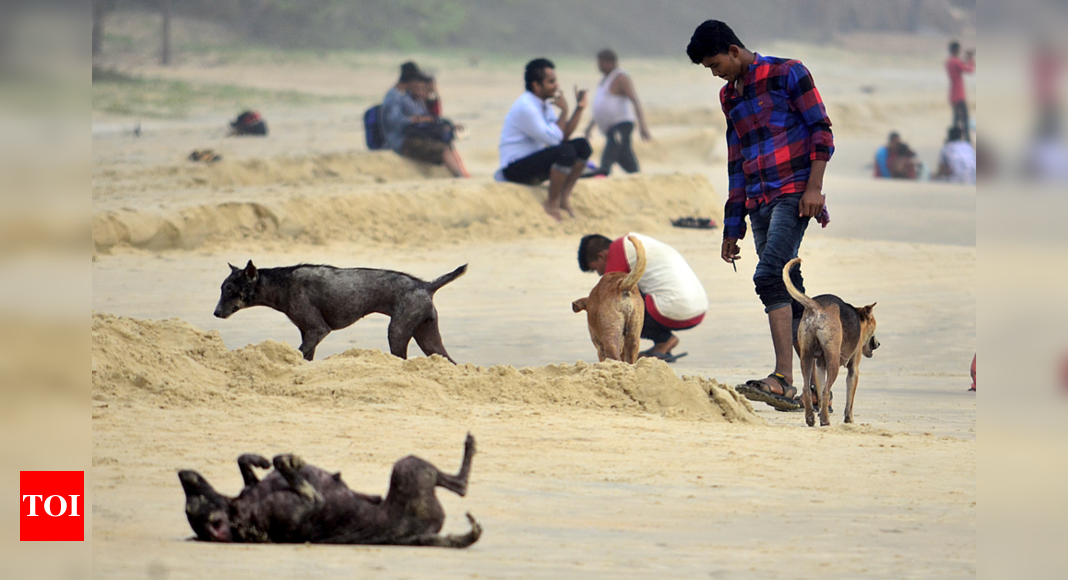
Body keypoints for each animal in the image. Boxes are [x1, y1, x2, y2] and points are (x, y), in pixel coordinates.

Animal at [177, 435, 478, 551]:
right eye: (192, 506)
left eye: (192, 496)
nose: (181, 473)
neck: (239, 514)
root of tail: (408, 538)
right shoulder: (312, 500)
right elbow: (281, 461)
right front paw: (288, 461)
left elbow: (247, 463)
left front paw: (256, 459)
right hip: (408, 468)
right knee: (461, 485)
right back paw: (470, 446)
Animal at [213, 260, 467, 361]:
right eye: (222, 288)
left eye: (230, 289)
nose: (215, 313)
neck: (281, 284)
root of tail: (426, 285)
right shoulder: (308, 334)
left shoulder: (317, 330)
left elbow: (300, 352)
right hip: (427, 338)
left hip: (397, 332)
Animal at [786, 258, 875, 427]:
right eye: (874, 328)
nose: (877, 344)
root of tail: (817, 307)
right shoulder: (854, 370)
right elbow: (849, 401)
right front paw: (849, 419)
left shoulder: (820, 366)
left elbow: (820, 395)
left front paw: (821, 412)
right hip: (833, 363)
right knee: (826, 390)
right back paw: (825, 421)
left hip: (806, 358)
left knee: (808, 389)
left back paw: (811, 418)